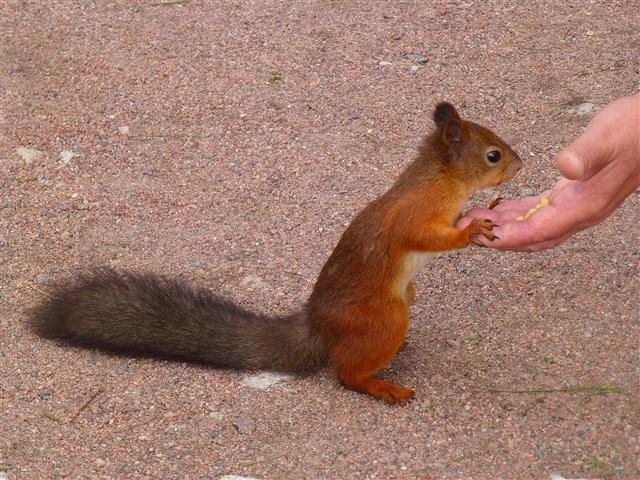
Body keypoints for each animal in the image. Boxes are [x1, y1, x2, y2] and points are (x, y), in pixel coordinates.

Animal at [28, 102, 520, 404]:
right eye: (493, 155)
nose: (521, 164)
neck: (440, 181)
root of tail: (318, 328)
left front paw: (486, 210)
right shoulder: (413, 216)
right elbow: (428, 238)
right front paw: (473, 228)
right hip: (383, 317)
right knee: (346, 374)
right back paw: (382, 387)